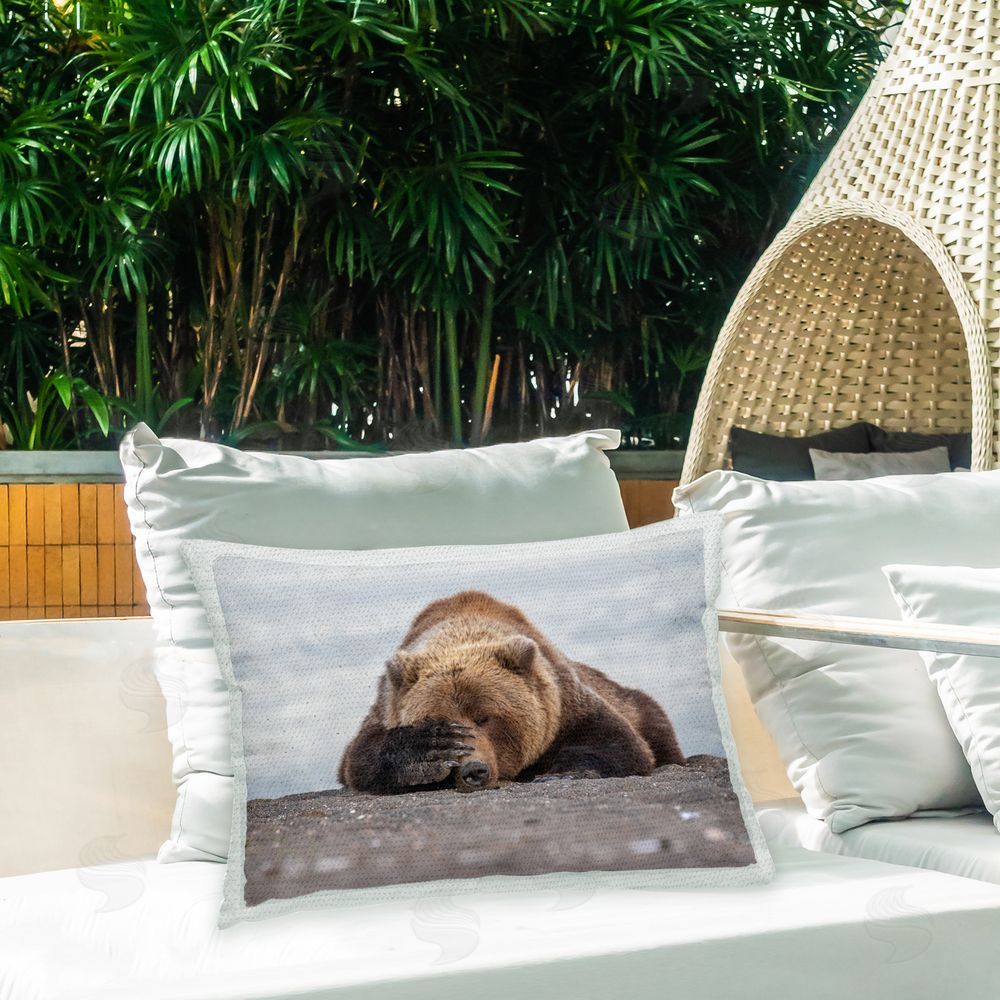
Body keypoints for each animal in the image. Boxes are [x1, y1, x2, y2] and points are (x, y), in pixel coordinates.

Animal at [338, 590, 685, 794]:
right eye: (438, 719)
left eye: (484, 717)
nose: (473, 771)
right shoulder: (385, 706)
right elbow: (360, 757)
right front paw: (429, 750)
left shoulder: (564, 701)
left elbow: (618, 742)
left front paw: (563, 773)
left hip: (634, 702)